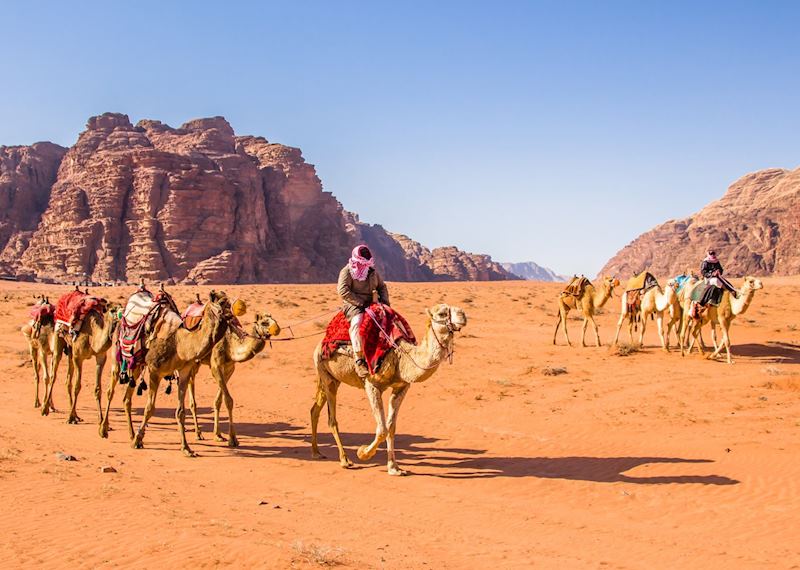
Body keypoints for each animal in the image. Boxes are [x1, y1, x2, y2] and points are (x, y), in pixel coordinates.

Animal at [130, 291, 234, 457]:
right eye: (221, 302)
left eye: (230, 302)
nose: (232, 315)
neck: (179, 345)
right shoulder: (154, 371)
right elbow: (149, 408)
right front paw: (137, 440)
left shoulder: (185, 371)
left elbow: (180, 411)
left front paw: (186, 448)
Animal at [185, 311, 281, 447]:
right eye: (264, 323)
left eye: (275, 320)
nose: (277, 329)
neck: (230, 344)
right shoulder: (215, 365)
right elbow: (228, 400)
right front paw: (233, 439)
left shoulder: (230, 368)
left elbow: (219, 401)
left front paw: (218, 435)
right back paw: (197, 433)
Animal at [310, 303, 467, 476]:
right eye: (441, 313)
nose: (463, 315)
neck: (401, 356)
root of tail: (320, 343)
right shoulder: (371, 384)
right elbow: (382, 429)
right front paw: (363, 453)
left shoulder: (401, 387)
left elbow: (391, 427)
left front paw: (394, 468)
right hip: (325, 374)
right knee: (332, 419)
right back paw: (345, 460)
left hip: (331, 378)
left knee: (315, 409)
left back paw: (316, 452)